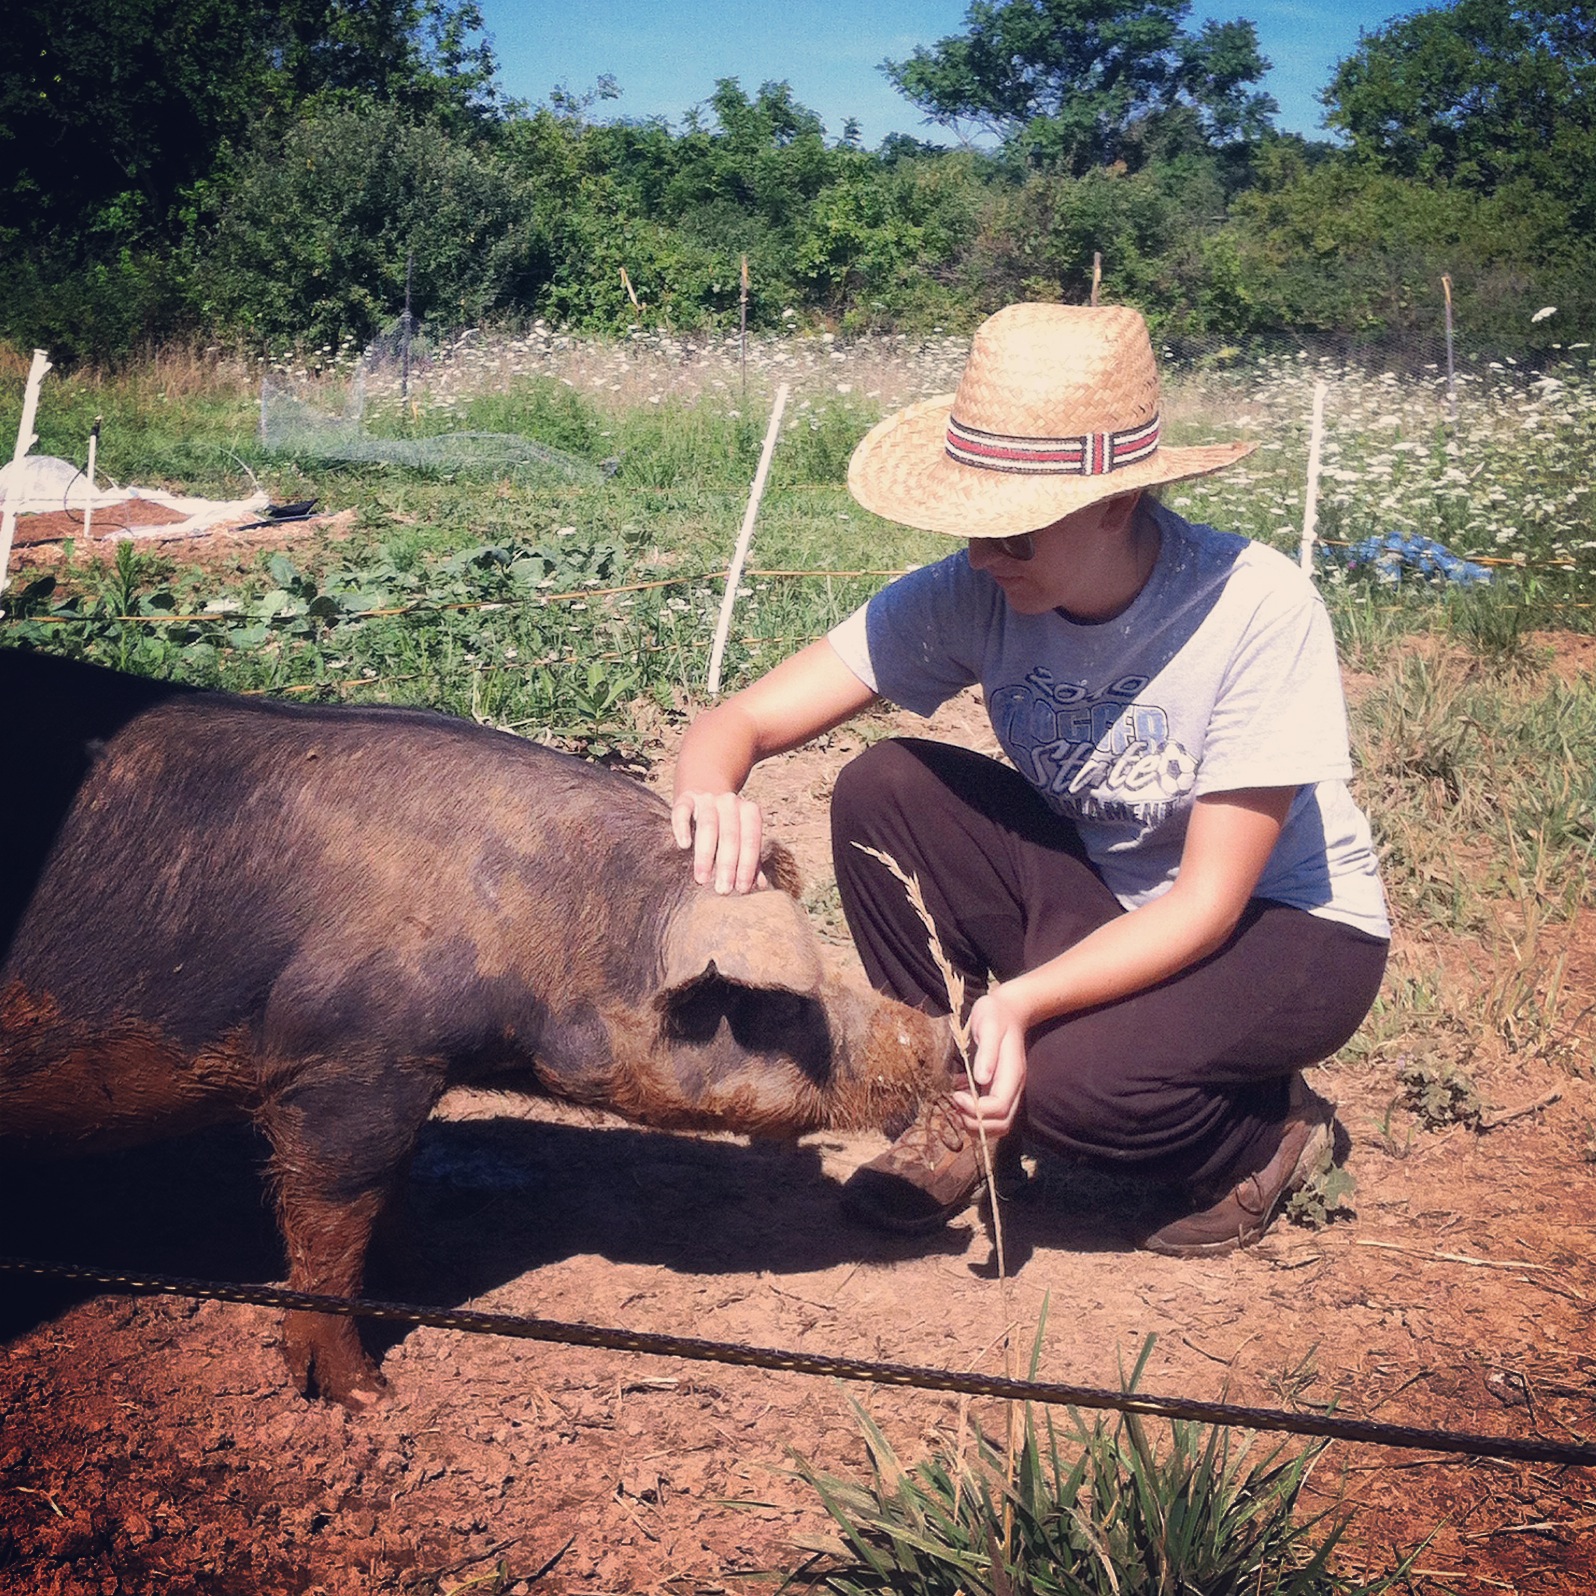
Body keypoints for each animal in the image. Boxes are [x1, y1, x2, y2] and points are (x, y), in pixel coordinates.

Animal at [0, 648, 952, 1406]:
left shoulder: (407, 1068)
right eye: (783, 1003)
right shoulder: (350, 1061)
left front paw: (424, 1287)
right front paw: (365, 1396)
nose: (939, 1033)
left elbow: (395, 1189)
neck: (551, 923)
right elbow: (336, 1212)